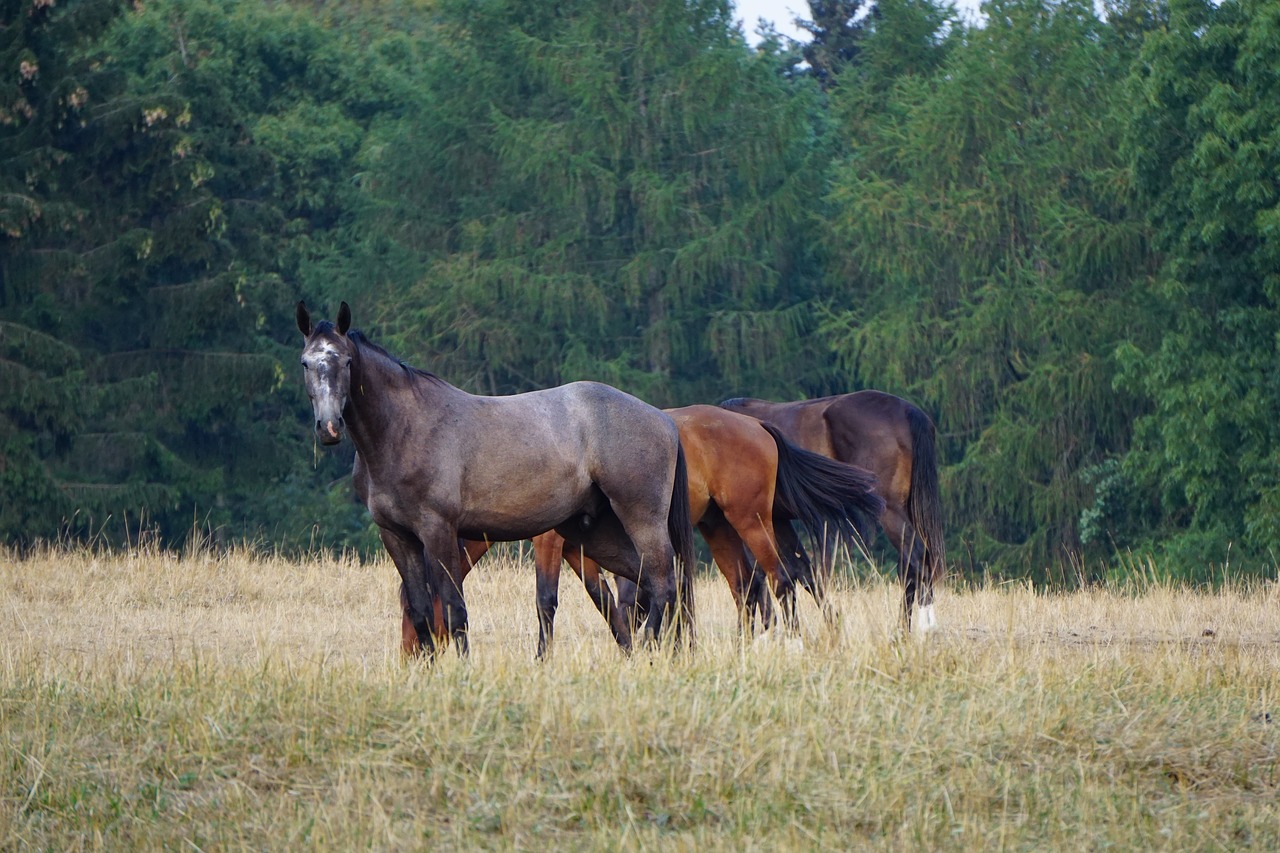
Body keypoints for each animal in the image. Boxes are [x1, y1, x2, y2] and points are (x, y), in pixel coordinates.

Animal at [394, 402, 885, 653]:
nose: (411, 657)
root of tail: (757, 425)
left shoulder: (549, 542)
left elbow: (547, 602)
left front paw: (544, 659)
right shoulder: (579, 550)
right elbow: (608, 600)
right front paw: (632, 645)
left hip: (750, 521)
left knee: (780, 579)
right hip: (721, 528)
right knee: (753, 585)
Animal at [721, 391, 952, 630]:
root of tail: (907, 410)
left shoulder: (751, 521)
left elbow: (756, 578)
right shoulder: (778, 520)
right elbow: (801, 572)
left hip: (890, 510)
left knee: (915, 558)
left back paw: (923, 628)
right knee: (913, 565)